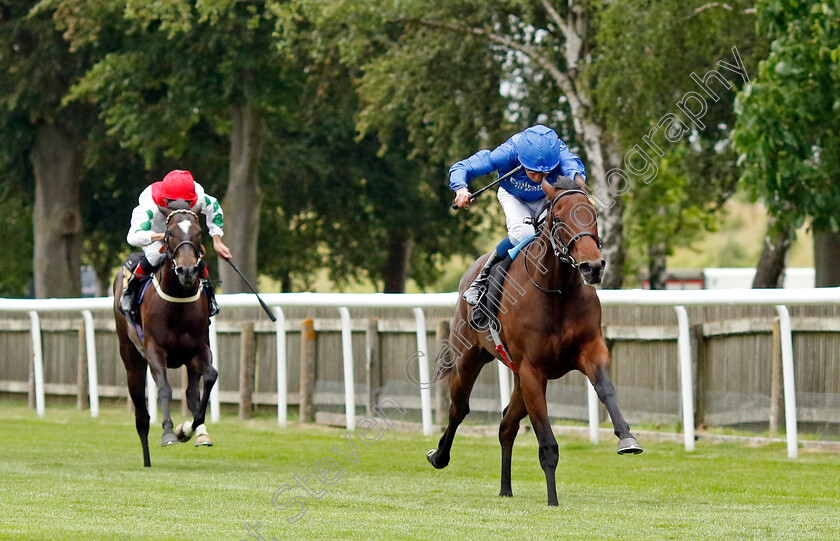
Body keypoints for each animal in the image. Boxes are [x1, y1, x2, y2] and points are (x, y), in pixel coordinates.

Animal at [113, 205, 218, 466]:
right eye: (170, 233)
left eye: (199, 232)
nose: (188, 270)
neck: (178, 301)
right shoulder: (154, 351)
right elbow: (164, 390)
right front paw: (169, 432)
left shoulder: (199, 349)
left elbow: (210, 376)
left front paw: (187, 429)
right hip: (131, 359)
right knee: (141, 413)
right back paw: (147, 460)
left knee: (192, 392)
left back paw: (198, 433)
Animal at [430, 177, 640, 506]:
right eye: (560, 219)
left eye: (592, 214)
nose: (592, 267)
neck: (557, 290)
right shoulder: (532, 370)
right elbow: (546, 442)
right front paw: (553, 500)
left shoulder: (590, 350)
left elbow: (606, 388)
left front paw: (627, 437)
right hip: (468, 359)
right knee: (459, 409)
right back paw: (439, 456)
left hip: (516, 376)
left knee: (506, 424)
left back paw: (505, 488)